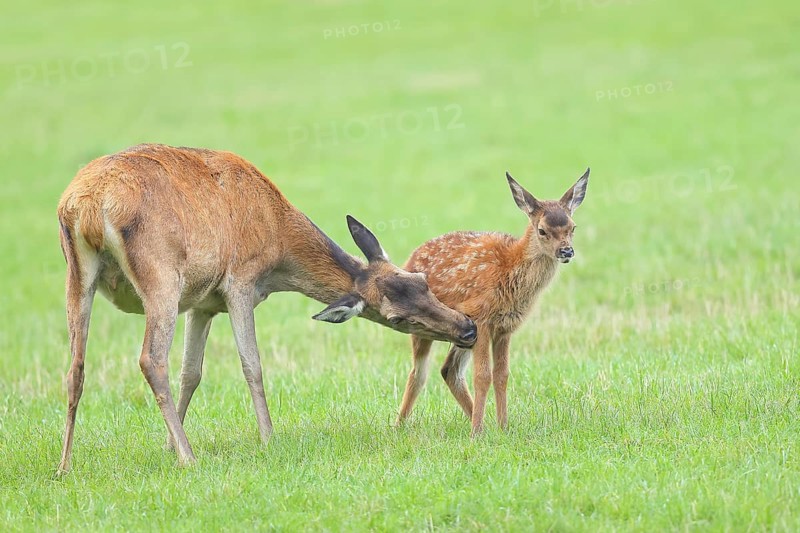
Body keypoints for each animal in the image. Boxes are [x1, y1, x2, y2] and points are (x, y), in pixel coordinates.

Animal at [55, 143, 478, 474]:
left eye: (421, 280)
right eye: (397, 319)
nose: (468, 329)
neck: (277, 247)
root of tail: (87, 205)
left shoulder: (202, 302)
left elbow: (192, 372)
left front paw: (168, 445)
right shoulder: (239, 282)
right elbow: (251, 364)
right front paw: (268, 437)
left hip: (78, 275)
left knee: (76, 366)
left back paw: (64, 465)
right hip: (161, 279)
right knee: (151, 359)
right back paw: (191, 459)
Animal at [395, 168, 589, 436]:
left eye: (573, 227)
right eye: (542, 230)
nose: (566, 251)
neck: (509, 270)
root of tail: (409, 259)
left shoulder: (505, 327)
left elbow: (502, 375)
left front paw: (503, 427)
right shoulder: (480, 317)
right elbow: (482, 376)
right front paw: (476, 434)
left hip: (461, 335)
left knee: (449, 370)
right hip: (422, 325)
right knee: (418, 373)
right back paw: (399, 425)